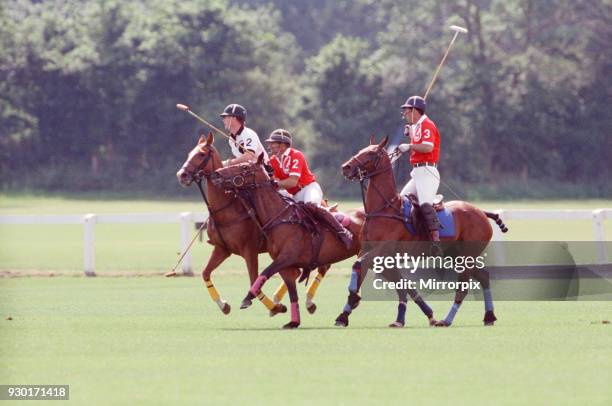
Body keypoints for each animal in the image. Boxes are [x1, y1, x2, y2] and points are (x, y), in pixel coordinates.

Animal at [176, 133, 330, 318]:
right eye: (189, 153)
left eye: (201, 154)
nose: (181, 175)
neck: (227, 208)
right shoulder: (222, 249)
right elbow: (205, 273)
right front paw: (224, 305)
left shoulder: (249, 251)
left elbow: (253, 280)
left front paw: (274, 307)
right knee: (297, 272)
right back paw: (282, 298)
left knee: (321, 268)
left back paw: (308, 302)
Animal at [212, 154, 364, 328]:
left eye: (244, 167)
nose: (216, 174)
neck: (280, 217)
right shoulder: (286, 266)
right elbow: (292, 293)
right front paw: (293, 322)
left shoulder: (286, 257)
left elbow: (264, 273)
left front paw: (248, 298)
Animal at [338, 136, 510, 326]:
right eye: (361, 150)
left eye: (371, 153)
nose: (346, 167)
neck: (383, 209)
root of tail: (481, 212)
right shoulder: (371, 251)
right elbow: (395, 281)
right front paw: (344, 315)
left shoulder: (382, 250)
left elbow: (359, 264)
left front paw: (354, 295)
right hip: (457, 256)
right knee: (484, 276)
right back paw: (489, 316)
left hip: (467, 256)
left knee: (464, 288)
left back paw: (447, 320)